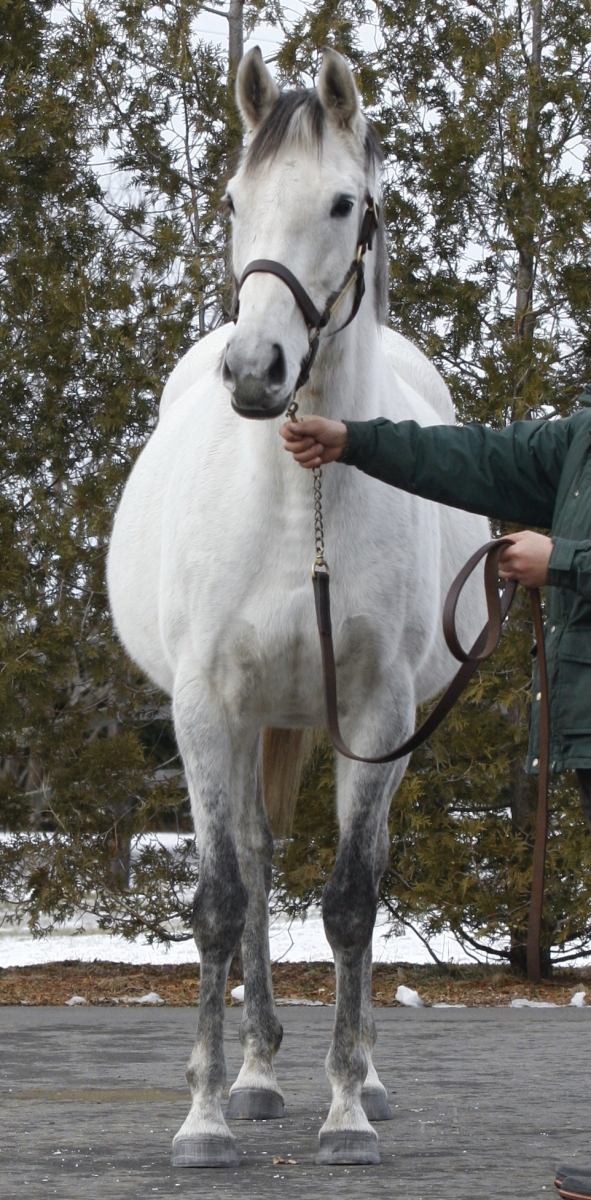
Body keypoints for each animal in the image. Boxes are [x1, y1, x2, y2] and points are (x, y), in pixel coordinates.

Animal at [107, 46, 489, 1169]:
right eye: (236, 200)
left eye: (343, 202)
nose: (254, 372)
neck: (295, 505)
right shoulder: (204, 708)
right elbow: (222, 899)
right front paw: (202, 1117)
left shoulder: (379, 713)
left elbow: (355, 904)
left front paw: (349, 1110)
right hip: (249, 724)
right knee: (257, 863)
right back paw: (255, 1075)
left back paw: (352, 1076)